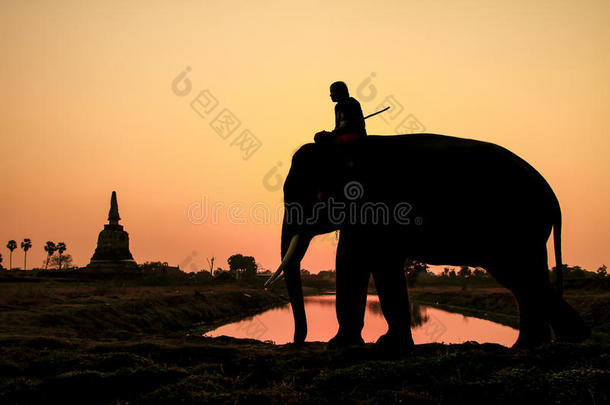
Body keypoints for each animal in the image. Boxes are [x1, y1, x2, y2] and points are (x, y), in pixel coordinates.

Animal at [268, 133, 588, 348]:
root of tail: (553, 199)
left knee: (521, 276)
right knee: (525, 280)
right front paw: (384, 344)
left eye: (314, 195)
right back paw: (538, 345)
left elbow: (359, 258)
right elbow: (371, 261)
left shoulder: (379, 203)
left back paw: (560, 342)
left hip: (517, 227)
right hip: (529, 232)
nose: (297, 342)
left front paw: (352, 344)